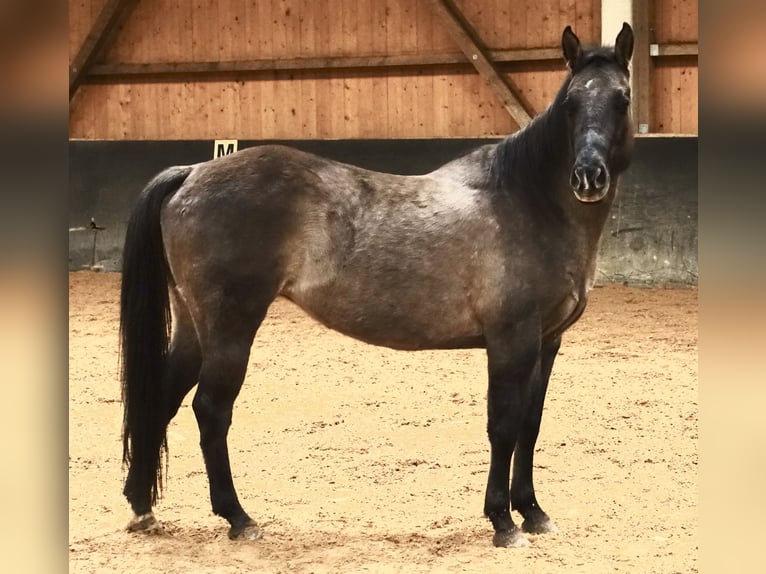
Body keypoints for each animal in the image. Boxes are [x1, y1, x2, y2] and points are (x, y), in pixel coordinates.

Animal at [120, 23, 636, 548]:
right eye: (570, 103)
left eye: (622, 99)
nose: (588, 177)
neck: (525, 200)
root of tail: (192, 173)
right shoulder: (511, 340)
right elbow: (504, 425)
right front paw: (503, 522)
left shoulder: (547, 342)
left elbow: (530, 425)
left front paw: (532, 511)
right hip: (231, 329)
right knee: (211, 410)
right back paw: (238, 518)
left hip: (194, 328)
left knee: (163, 398)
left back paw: (142, 507)